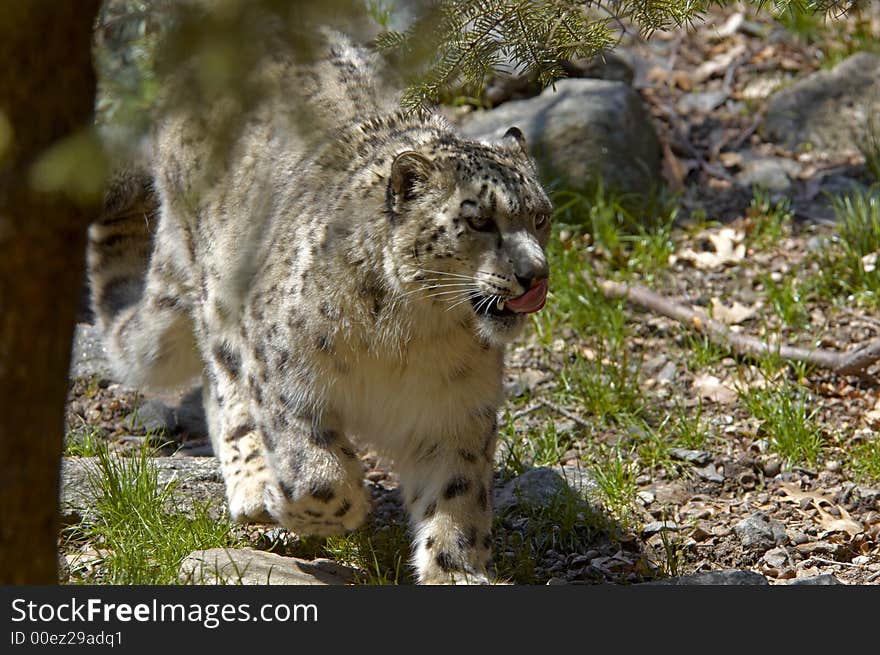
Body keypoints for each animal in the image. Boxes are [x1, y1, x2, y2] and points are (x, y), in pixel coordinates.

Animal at [87, 26, 552, 584]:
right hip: (218, 294)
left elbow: (457, 496)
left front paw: (454, 570)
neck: (414, 334)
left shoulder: (456, 412)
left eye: (541, 217)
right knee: (222, 389)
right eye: (480, 220)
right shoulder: (287, 376)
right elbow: (317, 474)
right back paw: (252, 485)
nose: (536, 274)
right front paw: (304, 505)